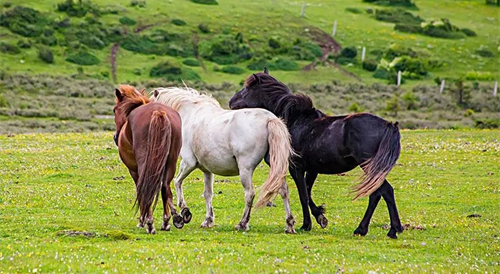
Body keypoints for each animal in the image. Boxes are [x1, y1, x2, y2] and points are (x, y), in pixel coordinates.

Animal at [114, 85, 184, 233]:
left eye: (114, 110)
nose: (116, 137)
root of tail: (158, 112)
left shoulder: (134, 171)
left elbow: (140, 190)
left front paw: (142, 220)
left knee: (146, 188)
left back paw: (149, 223)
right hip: (170, 162)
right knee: (164, 187)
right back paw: (166, 222)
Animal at [150, 86, 294, 232]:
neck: (190, 114)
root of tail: (269, 119)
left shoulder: (188, 163)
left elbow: (177, 182)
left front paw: (185, 212)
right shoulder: (207, 170)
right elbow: (208, 194)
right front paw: (208, 220)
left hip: (245, 170)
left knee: (250, 194)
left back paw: (242, 223)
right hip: (275, 165)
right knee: (283, 190)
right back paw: (289, 224)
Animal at [229, 68, 404, 238]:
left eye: (247, 88)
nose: (231, 102)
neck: (294, 121)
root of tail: (388, 125)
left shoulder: (296, 168)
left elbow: (303, 195)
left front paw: (306, 225)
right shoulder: (312, 169)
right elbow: (307, 192)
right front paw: (321, 218)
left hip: (368, 166)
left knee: (383, 192)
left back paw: (381, 230)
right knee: (379, 193)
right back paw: (375, 229)